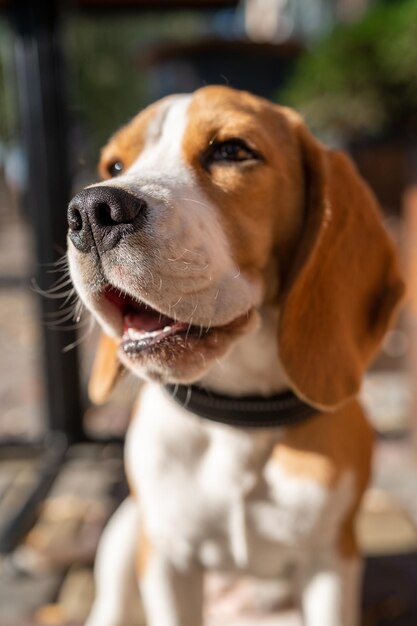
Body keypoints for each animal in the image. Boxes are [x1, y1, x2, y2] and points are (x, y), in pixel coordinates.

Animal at [67, 84, 404, 624]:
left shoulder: (332, 562)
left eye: (230, 151)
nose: (92, 210)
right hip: (125, 531)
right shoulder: (166, 557)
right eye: (115, 165)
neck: (240, 421)